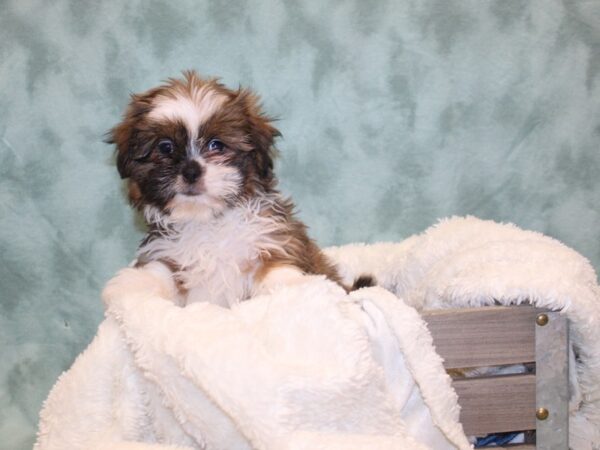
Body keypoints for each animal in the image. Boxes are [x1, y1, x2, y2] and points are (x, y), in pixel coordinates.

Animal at [108, 71, 370, 310]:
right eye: (165, 147)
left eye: (216, 145)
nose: (191, 171)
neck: (208, 222)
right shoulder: (167, 251)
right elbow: (161, 269)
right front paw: (132, 283)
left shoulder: (272, 238)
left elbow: (274, 266)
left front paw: (293, 288)